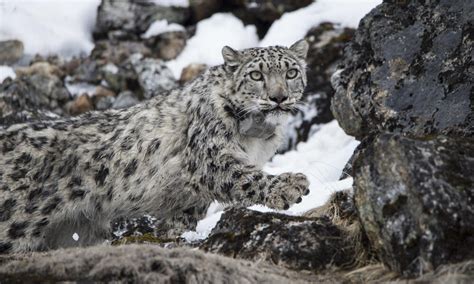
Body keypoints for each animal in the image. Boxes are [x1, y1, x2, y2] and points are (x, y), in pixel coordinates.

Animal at [0, 39, 312, 253]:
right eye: (256, 75)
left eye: (291, 73)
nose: (278, 98)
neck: (258, 137)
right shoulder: (211, 158)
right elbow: (244, 177)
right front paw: (289, 186)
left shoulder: (190, 199)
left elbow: (180, 221)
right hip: (14, 224)